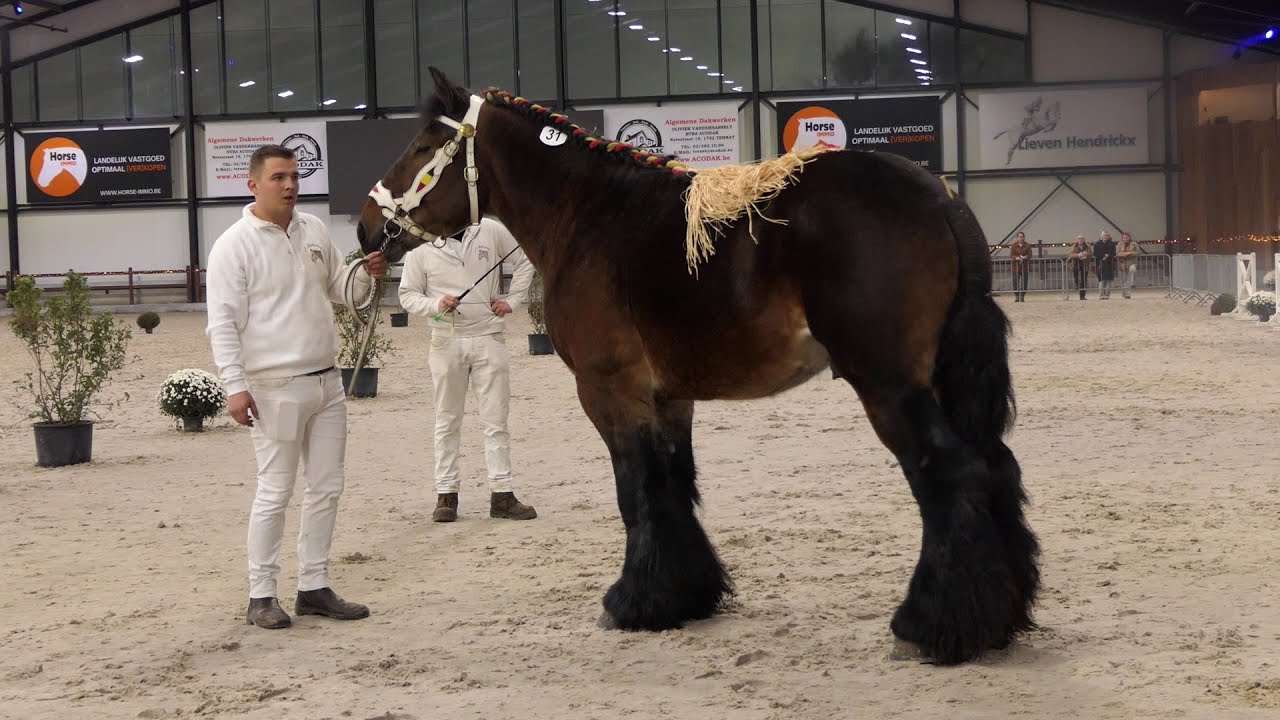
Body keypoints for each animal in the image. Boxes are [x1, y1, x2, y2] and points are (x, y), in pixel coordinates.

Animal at [356, 67, 1041, 665]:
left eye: (423, 146)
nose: (366, 230)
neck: (591, 215)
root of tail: (939, 197)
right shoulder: (668, 398)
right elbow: (673, 486)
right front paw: (684, 596)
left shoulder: (611, 392)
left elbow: (636, 490)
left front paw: (632, 603)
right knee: (996, 469)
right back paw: (1001, 618)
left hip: (889, 385)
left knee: (952, 476)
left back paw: (931, 627)